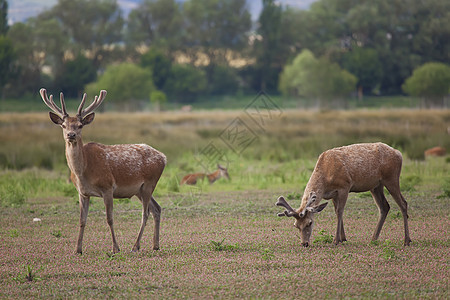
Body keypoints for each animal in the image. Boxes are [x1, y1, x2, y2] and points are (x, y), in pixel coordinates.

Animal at [39, 88, 166, 253]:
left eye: (80, 125)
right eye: (63, 125)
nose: (71, 135)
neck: (83, 172)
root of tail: (163, 157)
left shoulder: (107, 187)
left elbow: (109, 218)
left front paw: (115, 248)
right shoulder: (82, 193)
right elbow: (82, 220)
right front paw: (77, 249)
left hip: (150, 183)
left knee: (145, 213)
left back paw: (135, 246)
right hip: (139, 189)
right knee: (157, 208)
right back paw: (155, 245)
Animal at [274, 142, 412, 247]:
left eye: (310, 223)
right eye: (296, 226)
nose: (304, 243)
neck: (326, 178)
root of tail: (399, 153)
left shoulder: (344, 186)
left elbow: (340, 211)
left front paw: (336, 240)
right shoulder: (333, 194)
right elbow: (336, 211)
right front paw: (343, 238)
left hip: (391, 178)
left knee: (403, 203)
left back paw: (406, 240)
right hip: (376, 186)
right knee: (384, 206)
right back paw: (374, 238)